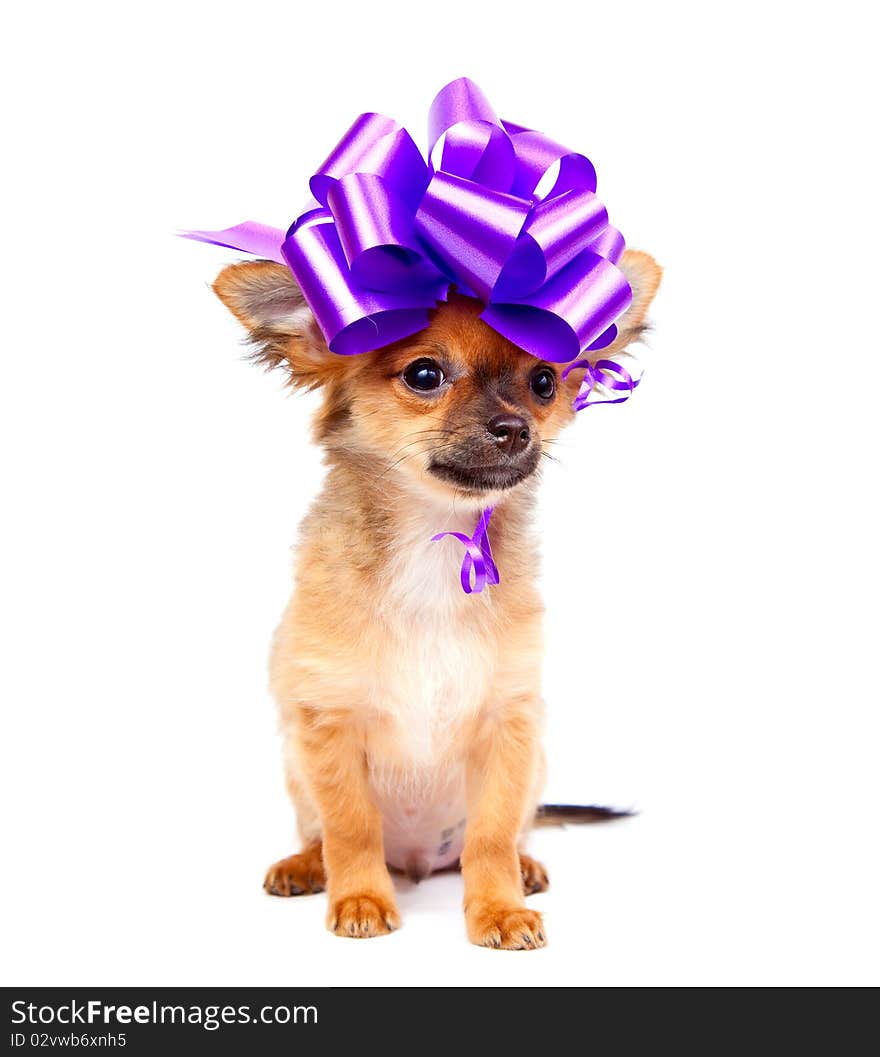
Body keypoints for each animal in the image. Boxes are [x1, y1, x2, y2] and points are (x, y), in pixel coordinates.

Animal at [209, 253, 654, 951]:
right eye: (425, 374)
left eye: (544, 382)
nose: (515, 428)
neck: (435, 543)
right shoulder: (327, 722)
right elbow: (351, 827)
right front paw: (361, 898)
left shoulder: (509, 724)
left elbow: (491, 834)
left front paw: (499, 909)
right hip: (295, 765)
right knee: (318, 833)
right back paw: (306, 866)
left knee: (510, 832)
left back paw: (525, 867)